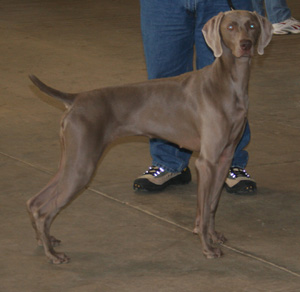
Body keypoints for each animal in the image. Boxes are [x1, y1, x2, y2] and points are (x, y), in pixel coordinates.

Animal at [27, 10, 274, 264]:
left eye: (252, 25)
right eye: (230, 27)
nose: (245, 45)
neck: (228, 83)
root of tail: (76, 99)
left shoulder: (224, 158)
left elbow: (212, 204)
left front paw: (213, 236)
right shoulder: (207, 162)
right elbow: (204, 210)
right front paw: (207, 247)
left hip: (71, 159)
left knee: (34, 202)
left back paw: (45, 240)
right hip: (81, 165)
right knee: (45, 210)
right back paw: (52, 254)